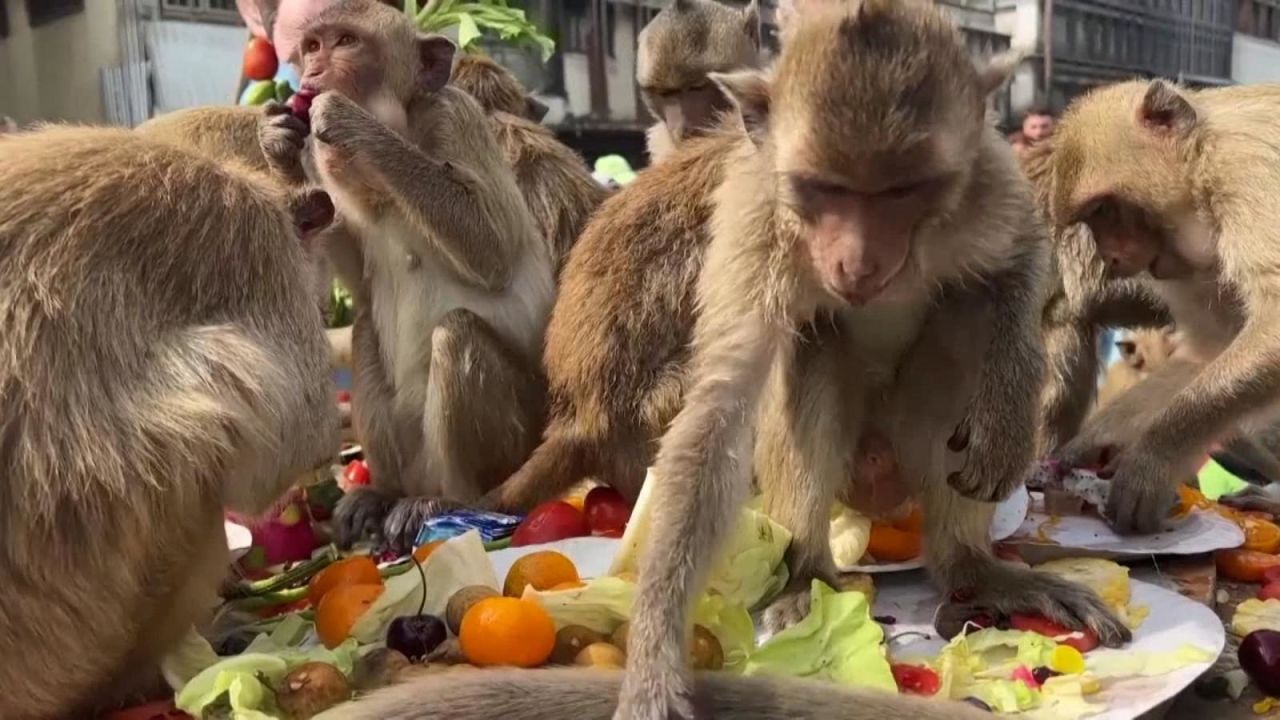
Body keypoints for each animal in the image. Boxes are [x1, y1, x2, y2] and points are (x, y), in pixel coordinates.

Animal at [611, 2, 1131, 712]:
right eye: (824, 188)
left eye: (902, 190)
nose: (857, 262)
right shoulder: (757, 220)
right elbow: (718, 407)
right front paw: (653, 662)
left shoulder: (985, 180)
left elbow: (1022, 260)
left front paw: (1010, 411)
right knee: (810, 348)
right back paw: (805, 575)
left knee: (964, 307)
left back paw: (971, 565)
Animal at [1034, 79, 1280, 532]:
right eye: (1092, 218)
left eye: (1104, 209)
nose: (1111, 257)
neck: (1201, 162)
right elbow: (1210, 349)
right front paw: (1098, 439)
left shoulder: (1250, 173)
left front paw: (1151, 464)